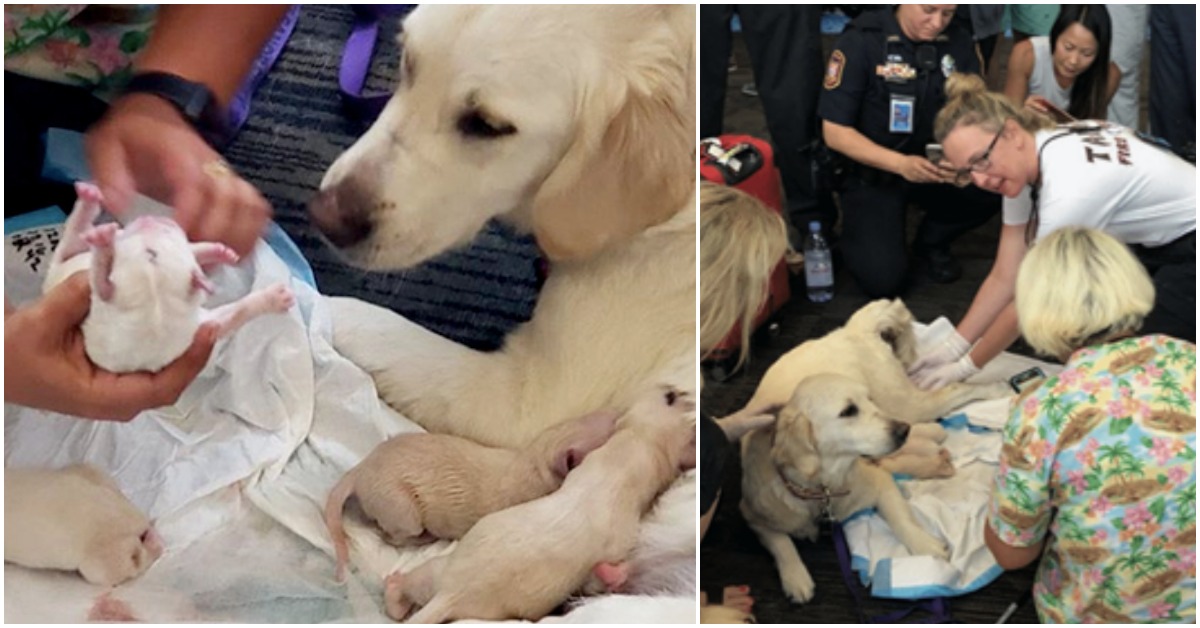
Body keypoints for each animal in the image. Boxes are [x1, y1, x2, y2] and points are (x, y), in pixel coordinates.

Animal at [45, 181, 294, 377]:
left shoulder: (196, 327)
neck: (156, 306)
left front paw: (275, 298)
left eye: (151, 251)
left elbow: (235, 312)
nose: (151, 218)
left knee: (76, 235)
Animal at [324, 410, 619, 583]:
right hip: (397, 505)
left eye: (587, 418)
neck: (532, 461)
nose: (613, 415)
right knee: (394, 533)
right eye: (603, 434)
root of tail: (361, 471)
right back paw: (424, 537)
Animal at [384, 389, 700, 624]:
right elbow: (601, 573)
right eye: (671, 396)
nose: (681, 390)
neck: (633, 449)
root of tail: (450, 594)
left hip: (437, 571)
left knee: (413, 581)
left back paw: (394, 592)